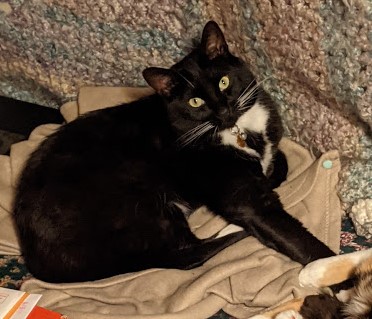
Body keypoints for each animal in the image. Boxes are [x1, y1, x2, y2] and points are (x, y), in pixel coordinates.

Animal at [13, 21, 334, 284]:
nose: (223, 110)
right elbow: (290, 232)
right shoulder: (246, 198)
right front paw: (332, 270)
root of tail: (37, 261)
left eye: (224, 82)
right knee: (188, 254)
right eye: (195, 102)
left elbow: (279, 162)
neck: (237, 129)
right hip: (140, 193)